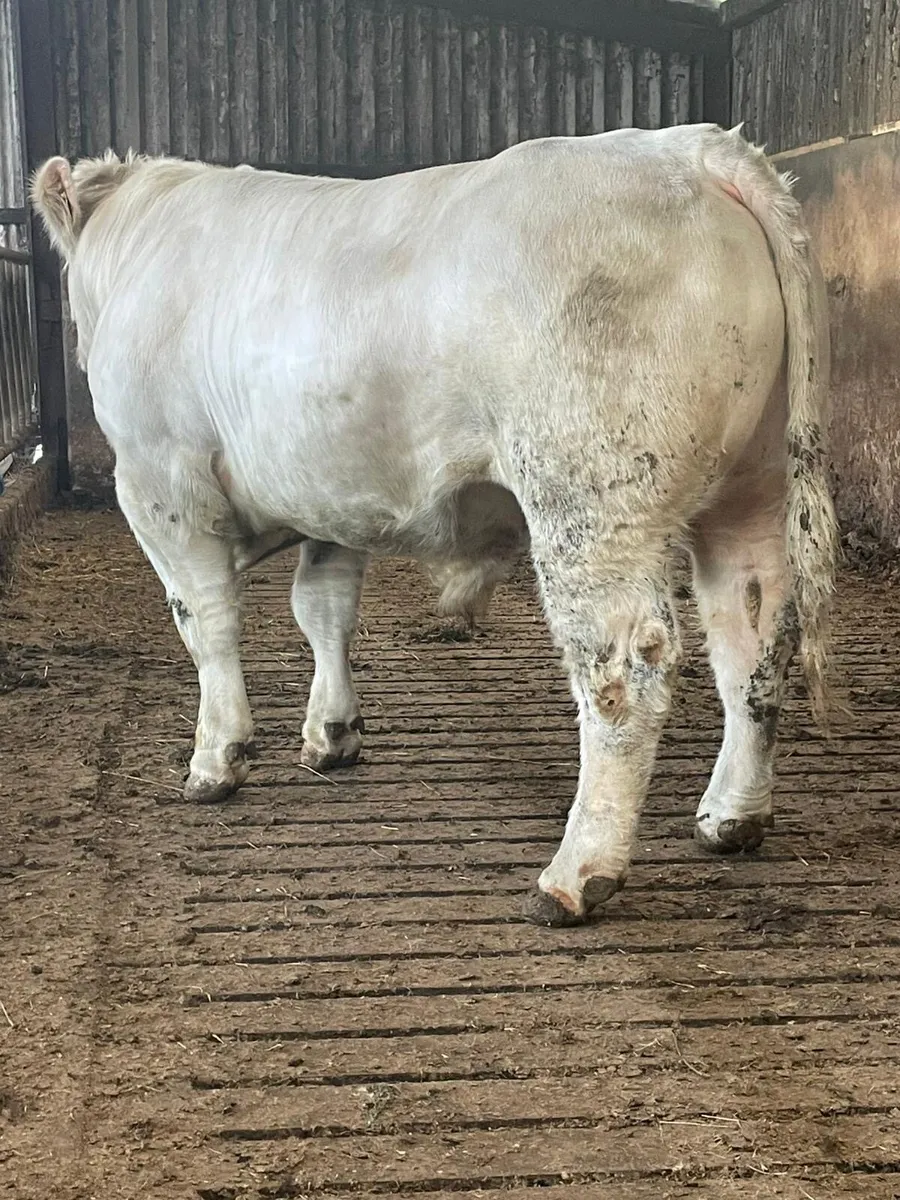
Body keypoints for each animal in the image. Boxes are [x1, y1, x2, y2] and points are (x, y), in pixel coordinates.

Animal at [33, 123, 838, 926]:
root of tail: (686, 147)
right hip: (751, 488)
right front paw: (332, 734)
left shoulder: (160, 480)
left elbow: (207, 622)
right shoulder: (331, 496)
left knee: (624, 668)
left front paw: (215, 757)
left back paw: (576, 873)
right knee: (752, 634)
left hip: (590, 498)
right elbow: (323, 609)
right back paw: (731, 816)